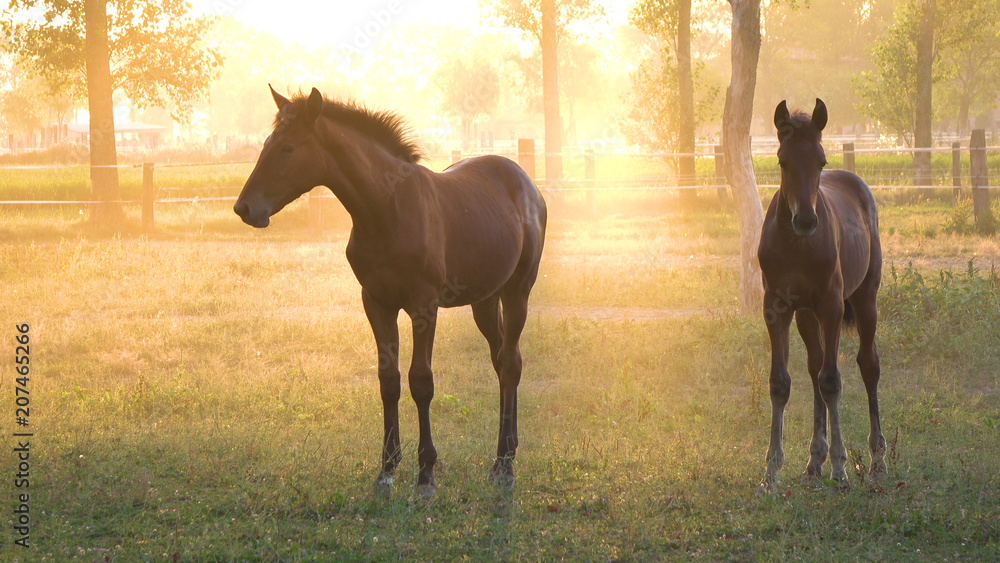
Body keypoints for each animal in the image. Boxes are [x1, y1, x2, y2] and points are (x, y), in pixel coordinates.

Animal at [234, 87, 548, 498]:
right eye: (267, 144)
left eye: (288, 147)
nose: (244, 208)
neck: (387, 209)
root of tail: (526, 182)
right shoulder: (376, 303)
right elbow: (389, 381)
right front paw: (386, 471)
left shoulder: (423, 306)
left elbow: (421, 381)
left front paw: (426, 474)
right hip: (484, 299)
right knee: (501, 362)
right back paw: (502, 457)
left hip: (517, 291)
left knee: (510, 363)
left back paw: (506, 466)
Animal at [752, 100, 888, 494]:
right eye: (782, 161)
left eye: (821, 161)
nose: (806, 221)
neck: (798, 246)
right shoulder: (777, 308)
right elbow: (781, 383)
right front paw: (771, 471)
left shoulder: (831, 306)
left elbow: (833, 380)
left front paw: (841, 469)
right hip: (806, 315)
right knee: (814, 367)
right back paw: (814, 462)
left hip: (864, 299)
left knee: (867, 365)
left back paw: (876, 460)